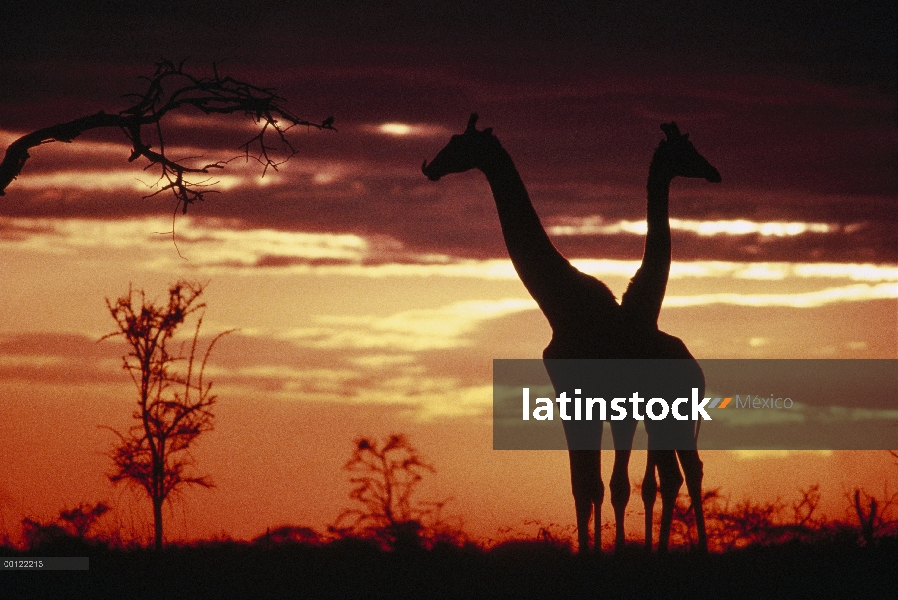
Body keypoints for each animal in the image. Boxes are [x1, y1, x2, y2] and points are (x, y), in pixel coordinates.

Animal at [422, 113, 720, 552]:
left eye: (461, 144)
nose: (431, 168)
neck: (562, 306)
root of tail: (696, 368)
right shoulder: (572, 400)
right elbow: (584, 485)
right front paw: (588, 550)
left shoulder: (617, 402)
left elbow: (612, 485)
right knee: (671, 475)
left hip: (673, 413)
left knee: (685, 471)